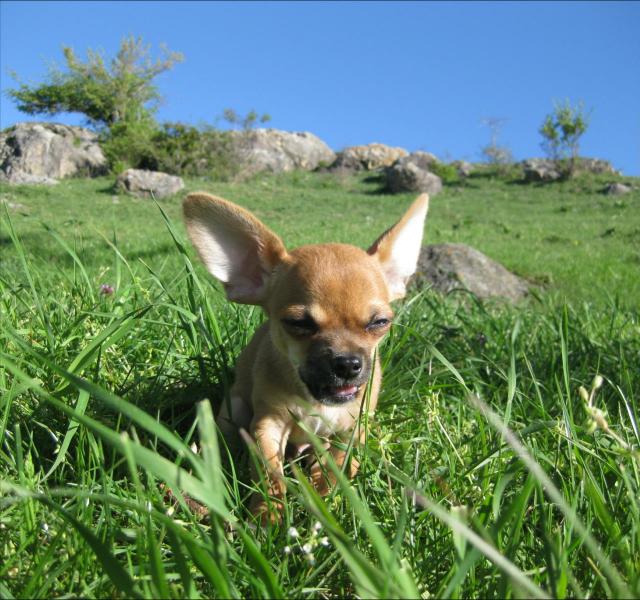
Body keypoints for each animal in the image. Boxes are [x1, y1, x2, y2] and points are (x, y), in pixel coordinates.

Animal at [183, 191, 428, 522]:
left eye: (379, 323)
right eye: (298, 324)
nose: (347, 363)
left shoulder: (353, 430)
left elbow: (338, 468)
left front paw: (323, 503)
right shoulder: (268, 425)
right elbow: (269, 473)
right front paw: (268, 516)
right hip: (233, 410)